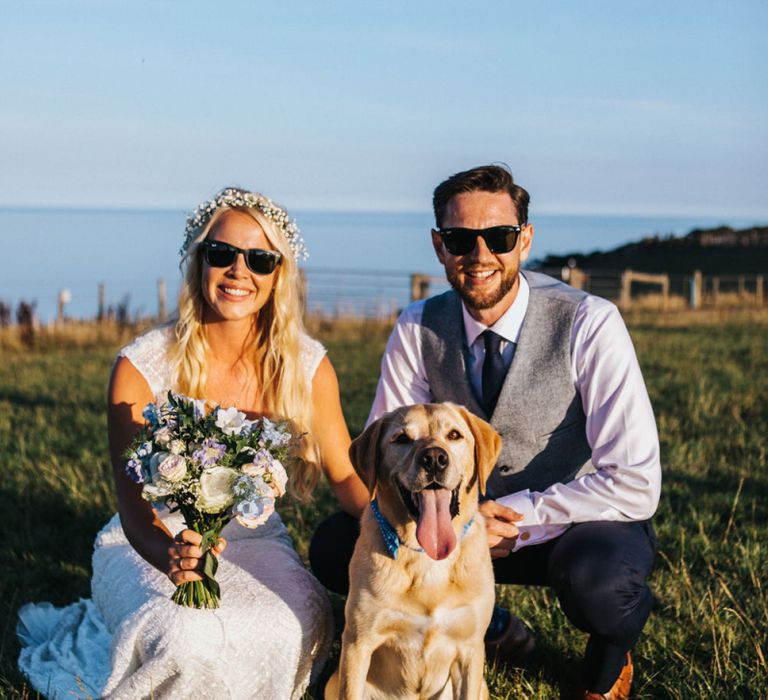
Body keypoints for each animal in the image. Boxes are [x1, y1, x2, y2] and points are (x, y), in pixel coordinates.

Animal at [326, 402, 500, 696]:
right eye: (402, 439)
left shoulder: (471, 649)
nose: (435, 458)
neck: (427, 557)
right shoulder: (358, 642)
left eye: (454, 435)